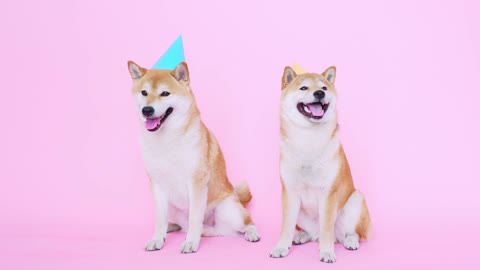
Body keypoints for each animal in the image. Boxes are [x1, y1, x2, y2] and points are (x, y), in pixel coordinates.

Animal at [126, 60, 258, 253]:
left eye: (165, 93)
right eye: (144, 92)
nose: (147, 110)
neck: (167, 140)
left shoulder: (196, 183)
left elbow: (195, 218)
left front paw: (190, 243)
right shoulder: (157, 185)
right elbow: (159, 220)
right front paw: (157, 238)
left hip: (228, 212)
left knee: (243, 224)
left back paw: (251, 233)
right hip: (175, 209)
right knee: (192, 227)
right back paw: (176, 228)